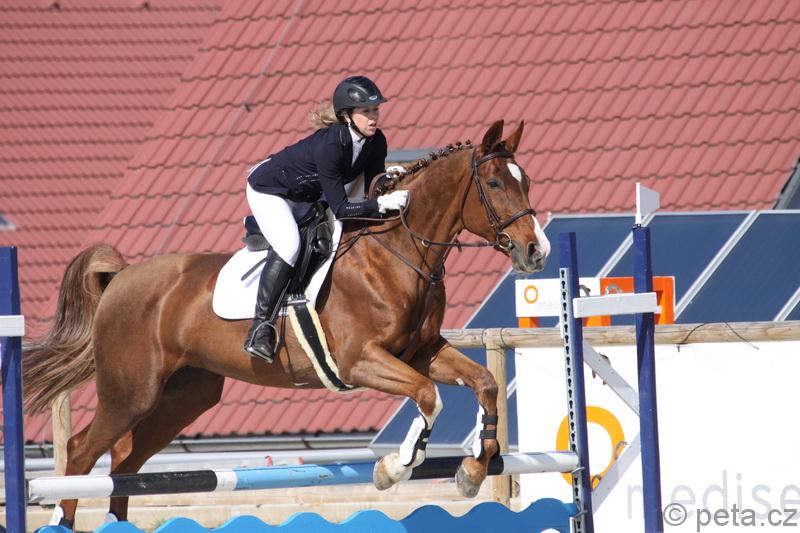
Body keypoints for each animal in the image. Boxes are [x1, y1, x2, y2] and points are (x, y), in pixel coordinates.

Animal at [22, 120, 551, 527]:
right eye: (496, 184)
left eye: (526, 180)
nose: (536, 251)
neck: (399, 252)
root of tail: (121, 279)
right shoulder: (361, 361)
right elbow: (427, 397)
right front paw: (394, 467)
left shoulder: (421, 352)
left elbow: (482, 383)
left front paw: (473, 469)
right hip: (131, 390)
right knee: (83, 451)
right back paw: (64, 518)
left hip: (185, 395)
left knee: (126, 459)